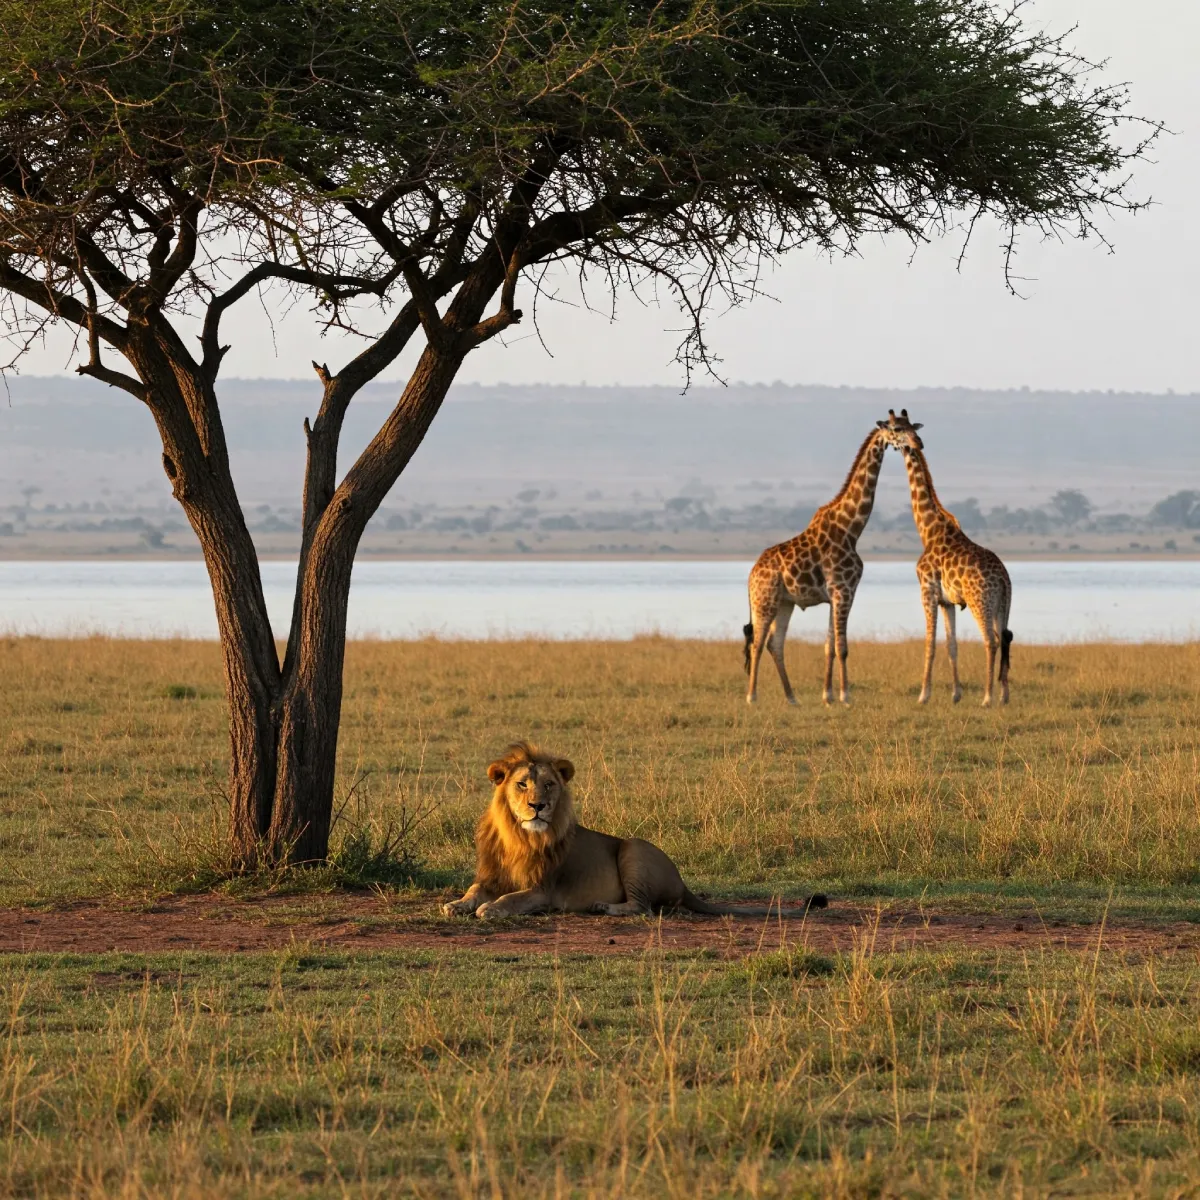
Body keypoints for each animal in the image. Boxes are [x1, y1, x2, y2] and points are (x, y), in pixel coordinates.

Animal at [441, 739, 825, 916]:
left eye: (549, 785)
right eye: (522, 784)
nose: (539, 806)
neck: (518, 835)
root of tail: (683, 883)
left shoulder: (542, 890)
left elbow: (512, 897)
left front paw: (491, 909)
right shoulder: (491, 876)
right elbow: (475, 890)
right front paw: (456, 904)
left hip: (634, 848)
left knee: (643, 907)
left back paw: (605, 907)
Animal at [739, 420, 916, 700]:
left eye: (911, 426)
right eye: (896, 429)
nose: (916, 443)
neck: (851, 529)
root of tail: (752, 574)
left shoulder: (837, 595)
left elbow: (829, 646)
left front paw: (828, 695)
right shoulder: (844, 591)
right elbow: (842, 646)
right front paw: (845, 696)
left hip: (784, 602)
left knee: (774, 643)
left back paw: (792, 698)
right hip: (764, 600)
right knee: (757, 643)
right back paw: (752, 697)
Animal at [888, 408, 1017, 705]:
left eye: (895, 428)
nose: (917, 442)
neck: (928, 529)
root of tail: (1004, 579)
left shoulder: (927, 592)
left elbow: (930, 643)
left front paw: (923, 695)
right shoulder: (947, 601)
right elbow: (951, 644)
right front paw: (956, 694)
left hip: (981, 601)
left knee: (991, 640)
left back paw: (987, 698)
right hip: (1003, 604)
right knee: (1005, 636)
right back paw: (1004, 696)